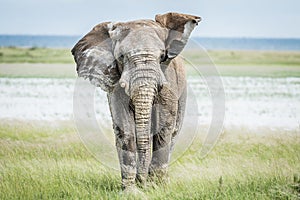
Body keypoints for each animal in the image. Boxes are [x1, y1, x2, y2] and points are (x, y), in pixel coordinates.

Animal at [71, 12, 200, 191]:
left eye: (162, 56)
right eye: (121, 57)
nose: (142, 183)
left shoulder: (169, 80)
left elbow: (164, 126)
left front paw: (156, 188)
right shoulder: (116, 86)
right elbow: (124, 126)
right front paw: (131, 191)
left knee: (174, 132)